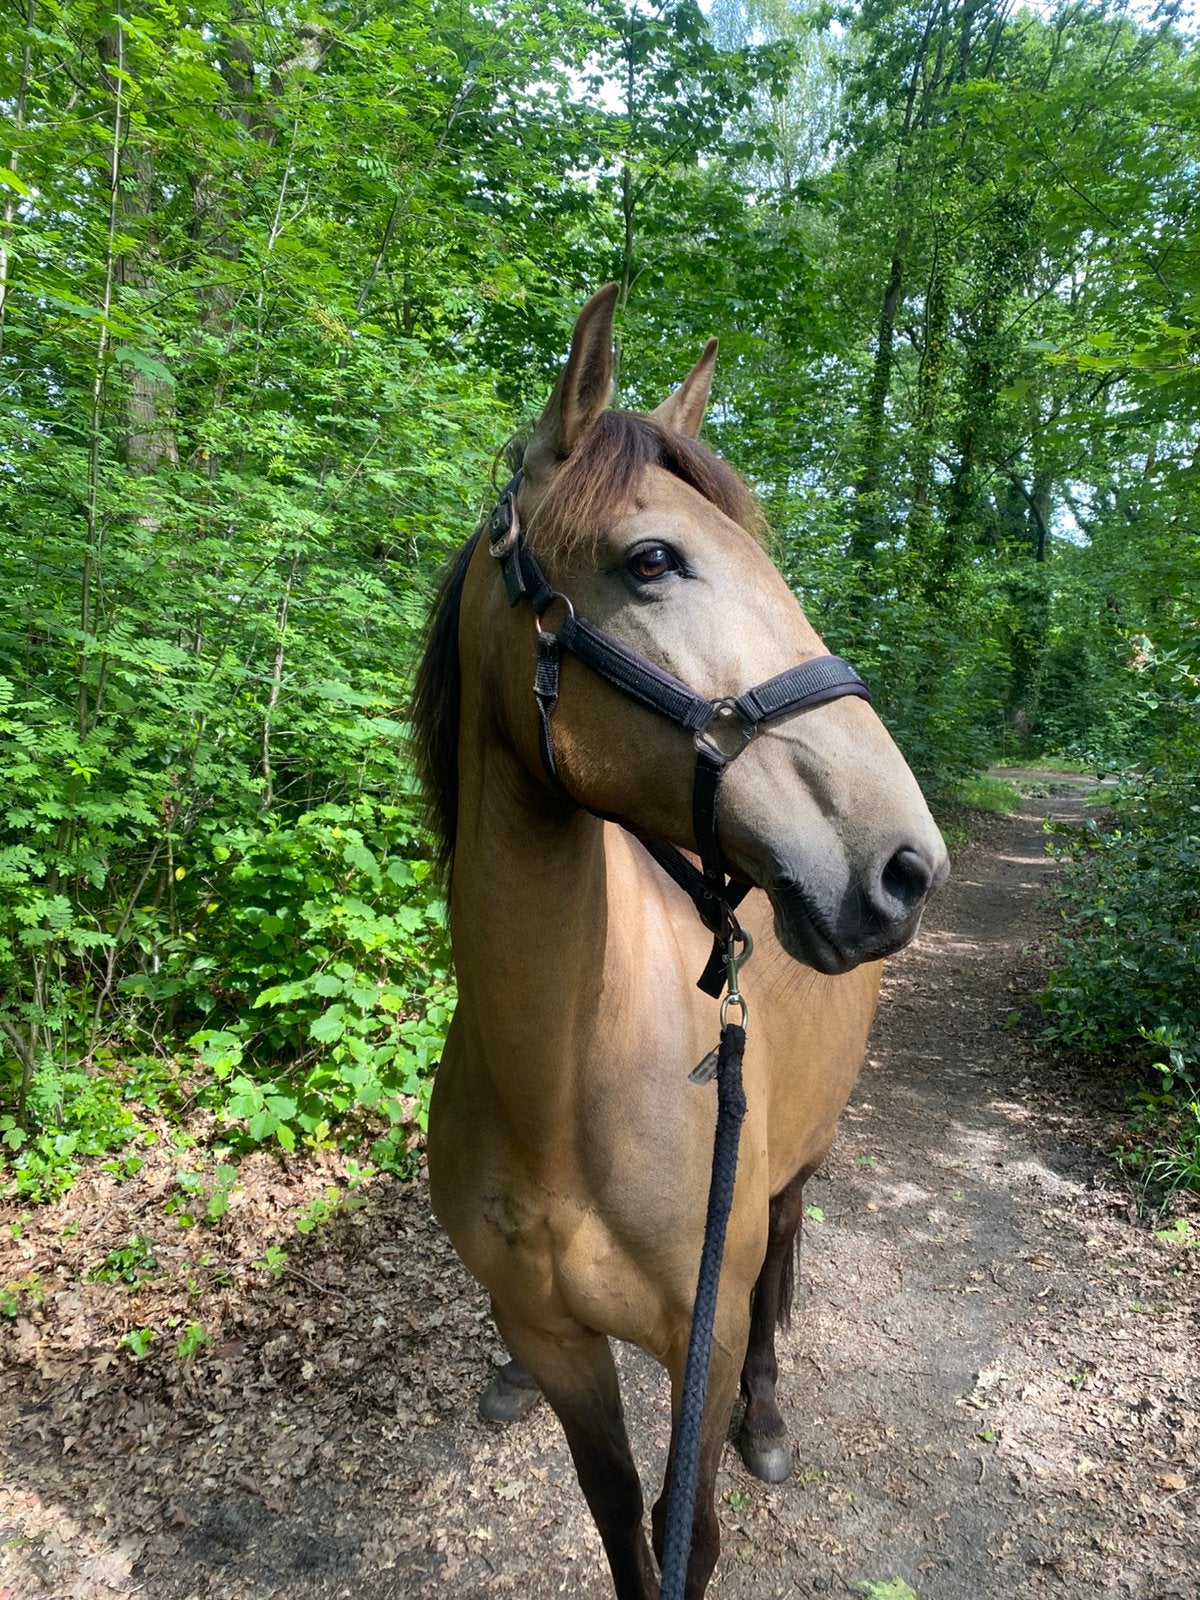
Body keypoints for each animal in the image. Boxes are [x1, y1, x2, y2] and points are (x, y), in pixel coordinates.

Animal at [414, 285, 948, 1600]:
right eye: (652, 559)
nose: (906, 863)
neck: (562, 1091)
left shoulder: (690, 1338)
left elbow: (684, 1534)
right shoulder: (555, 1339)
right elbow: (619, 1522)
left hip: (800, 1159)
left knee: (785, 1253)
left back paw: (770, 1415)